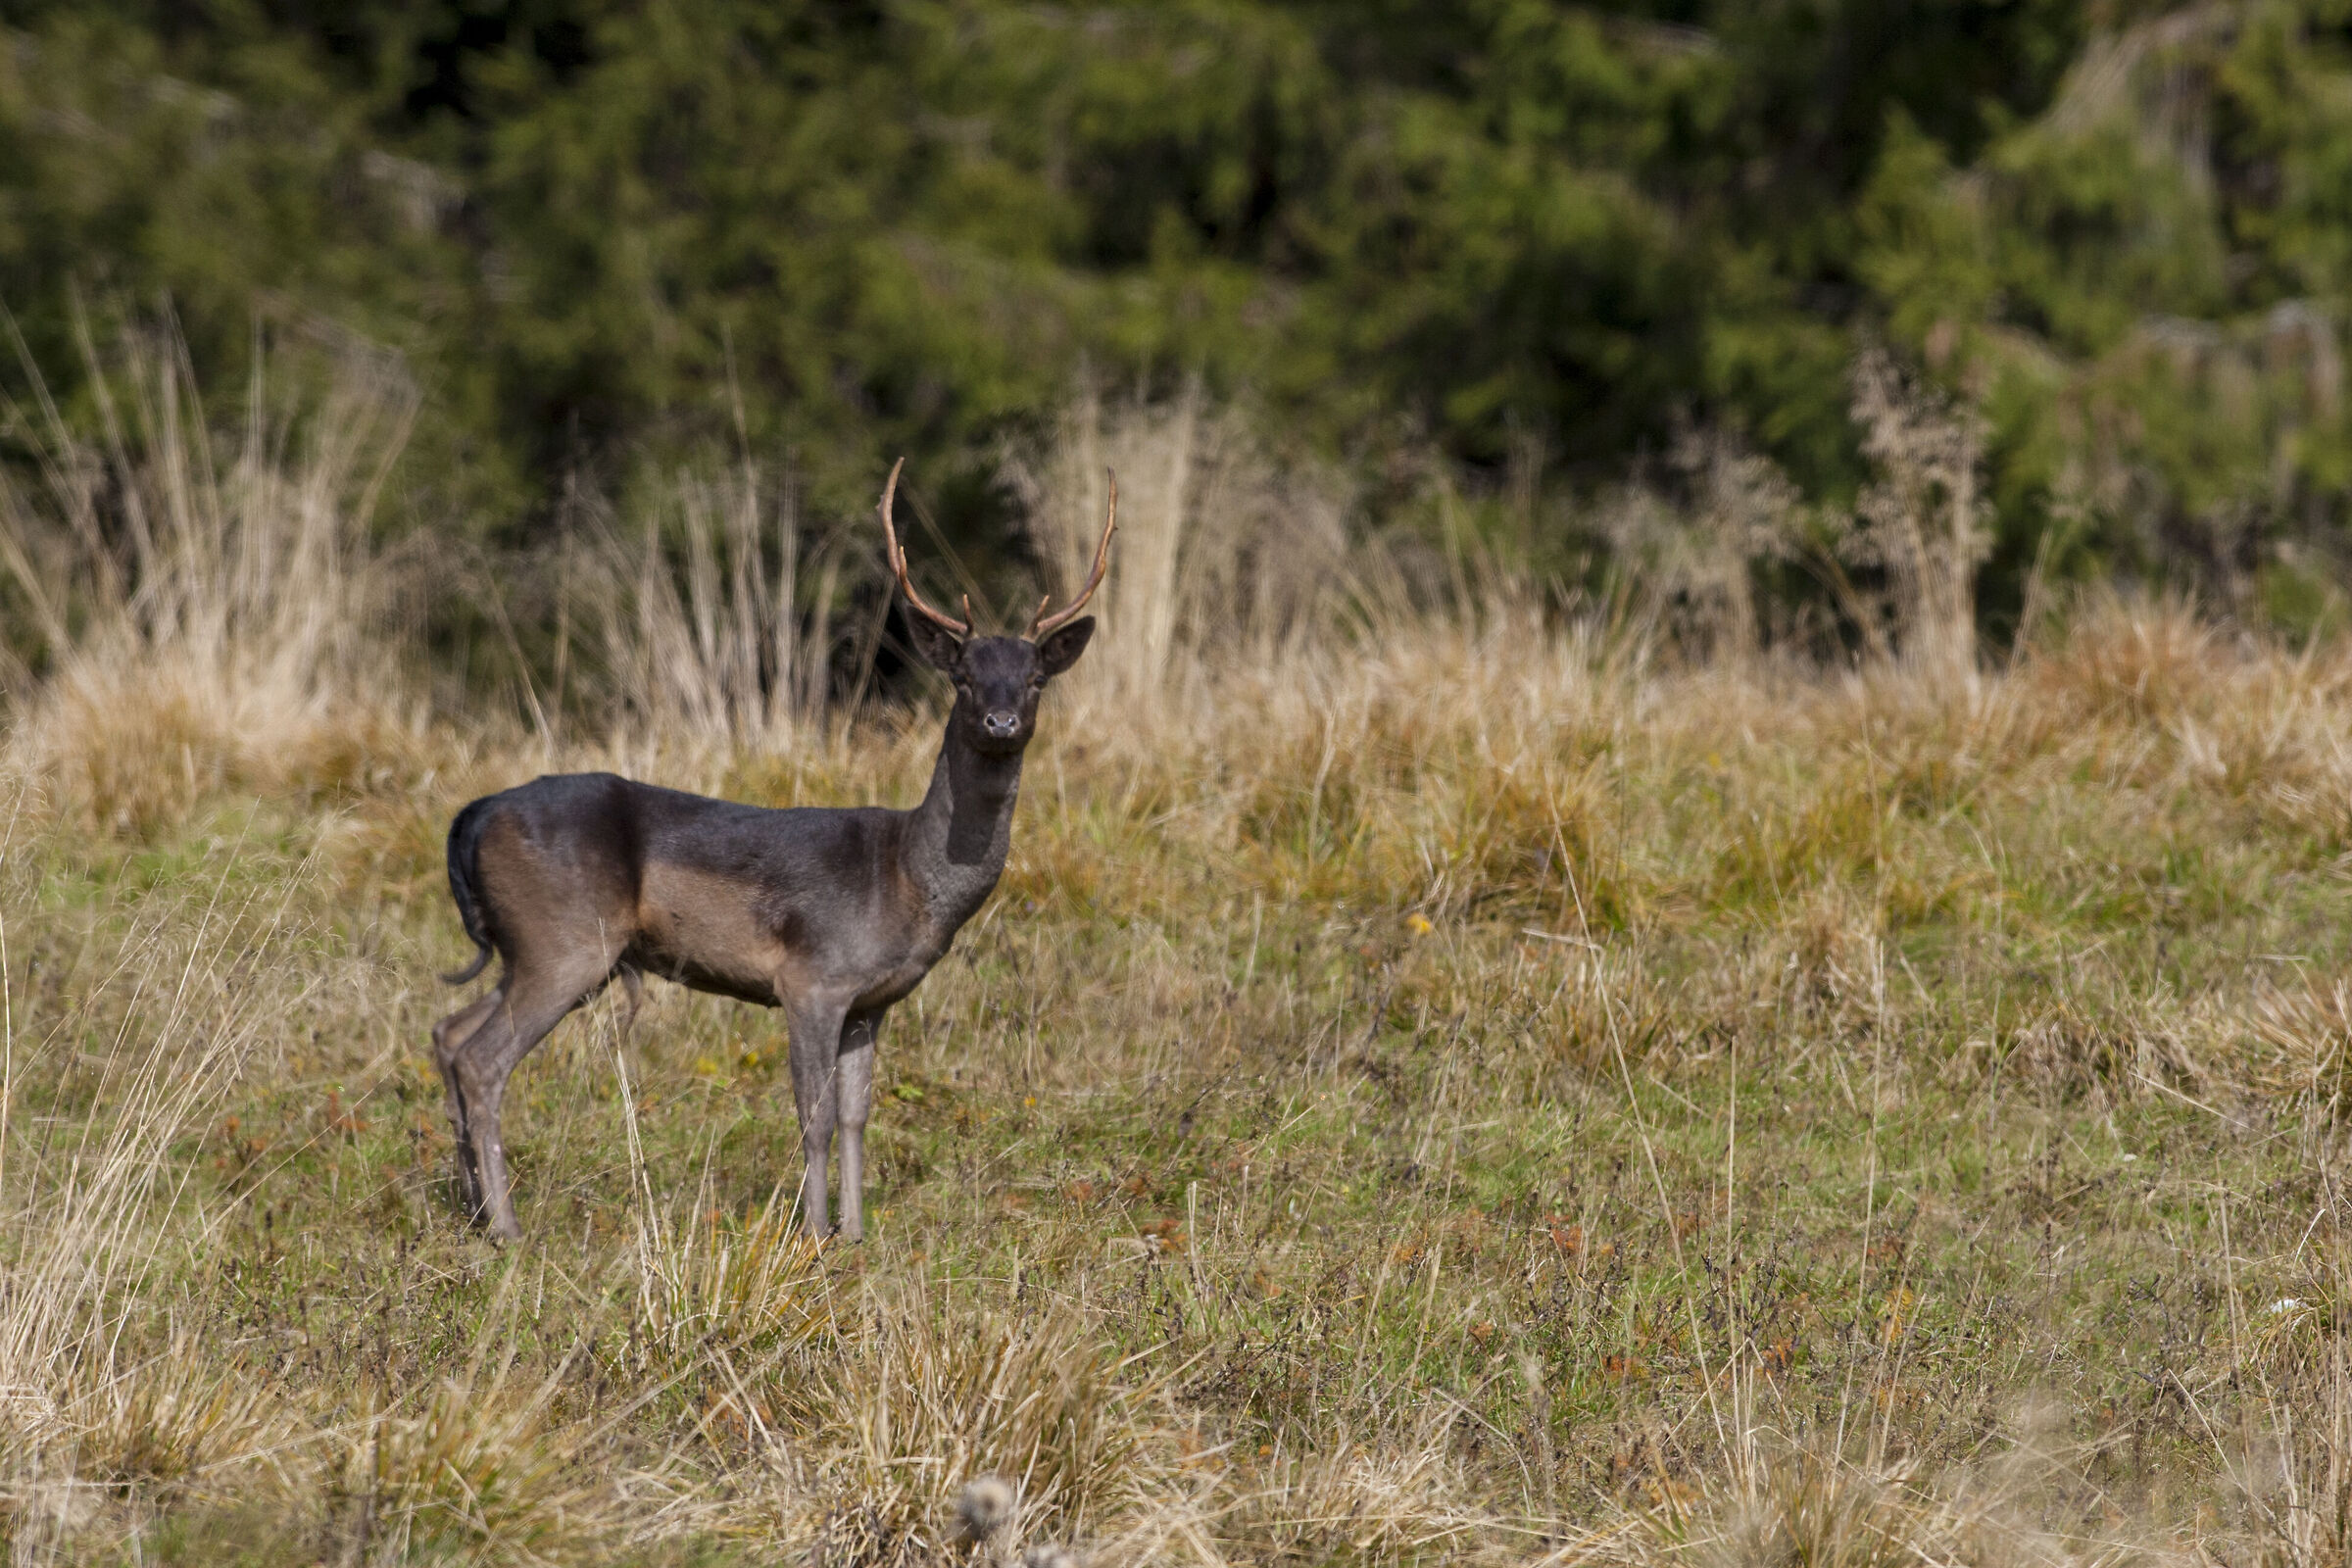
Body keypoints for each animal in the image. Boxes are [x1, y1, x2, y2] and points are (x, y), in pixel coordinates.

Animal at [428, 460, 1114, 1241]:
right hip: (565, 939)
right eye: (963, 676)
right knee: (482, 1060)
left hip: (536, 949)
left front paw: (856, 1233)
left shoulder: (872, 1001)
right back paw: (508, 1229)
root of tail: (473, 817)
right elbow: (813, 1116)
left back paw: (475, 1211)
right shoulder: (811, 977)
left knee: (448, 1032)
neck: (907, 879)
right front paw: (813, 1235)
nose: (1001, 721)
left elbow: (856, 1116)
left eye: (1035, 680)